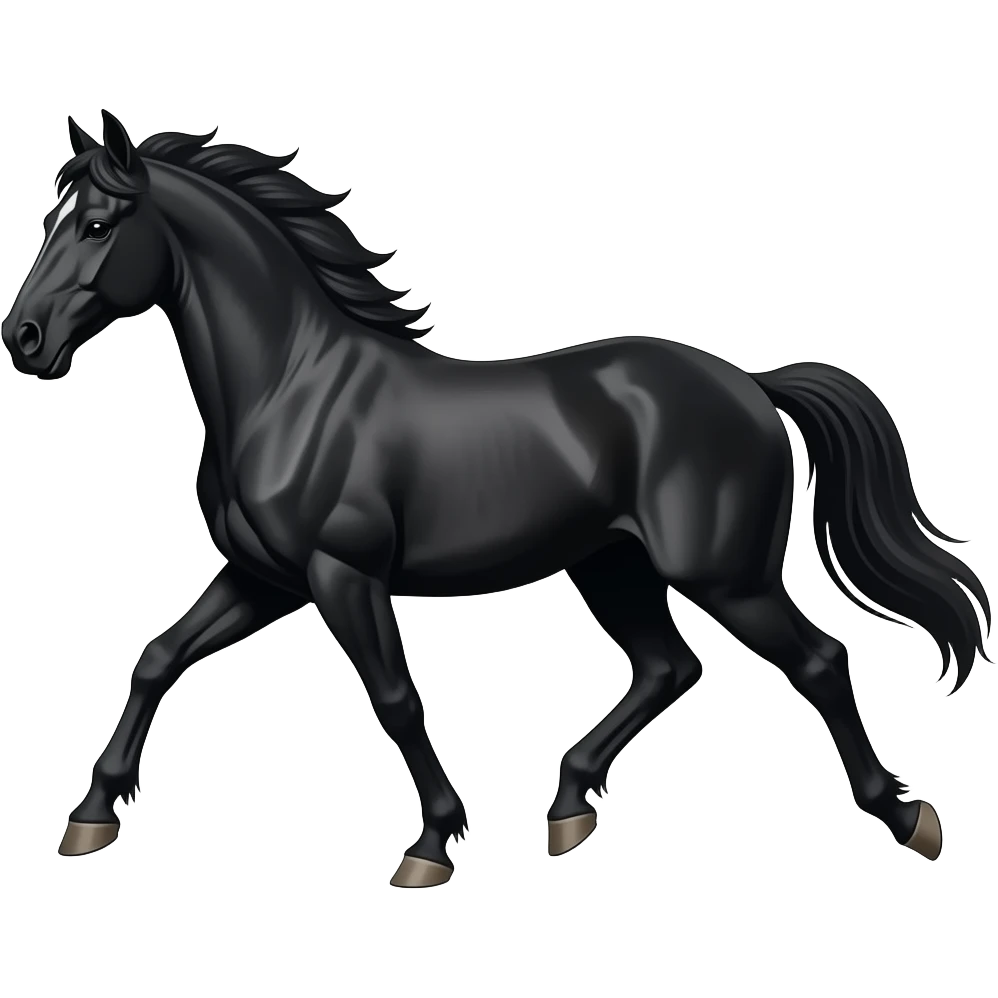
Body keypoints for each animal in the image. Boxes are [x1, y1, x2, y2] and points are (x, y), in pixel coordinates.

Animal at [7, 111, 989, 884]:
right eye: (53, 217)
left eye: (96, 223)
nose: (24, 338)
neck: (291, 385)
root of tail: (750, 383)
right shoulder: (265, 578)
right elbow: (157, 659)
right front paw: (90, 819)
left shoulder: (342, 575)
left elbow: (395, 698)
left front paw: (431, 847)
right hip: (612, 566)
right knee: (669, 667)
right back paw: (569, 809)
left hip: (723, 575)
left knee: (817, 661)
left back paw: (911, 818)